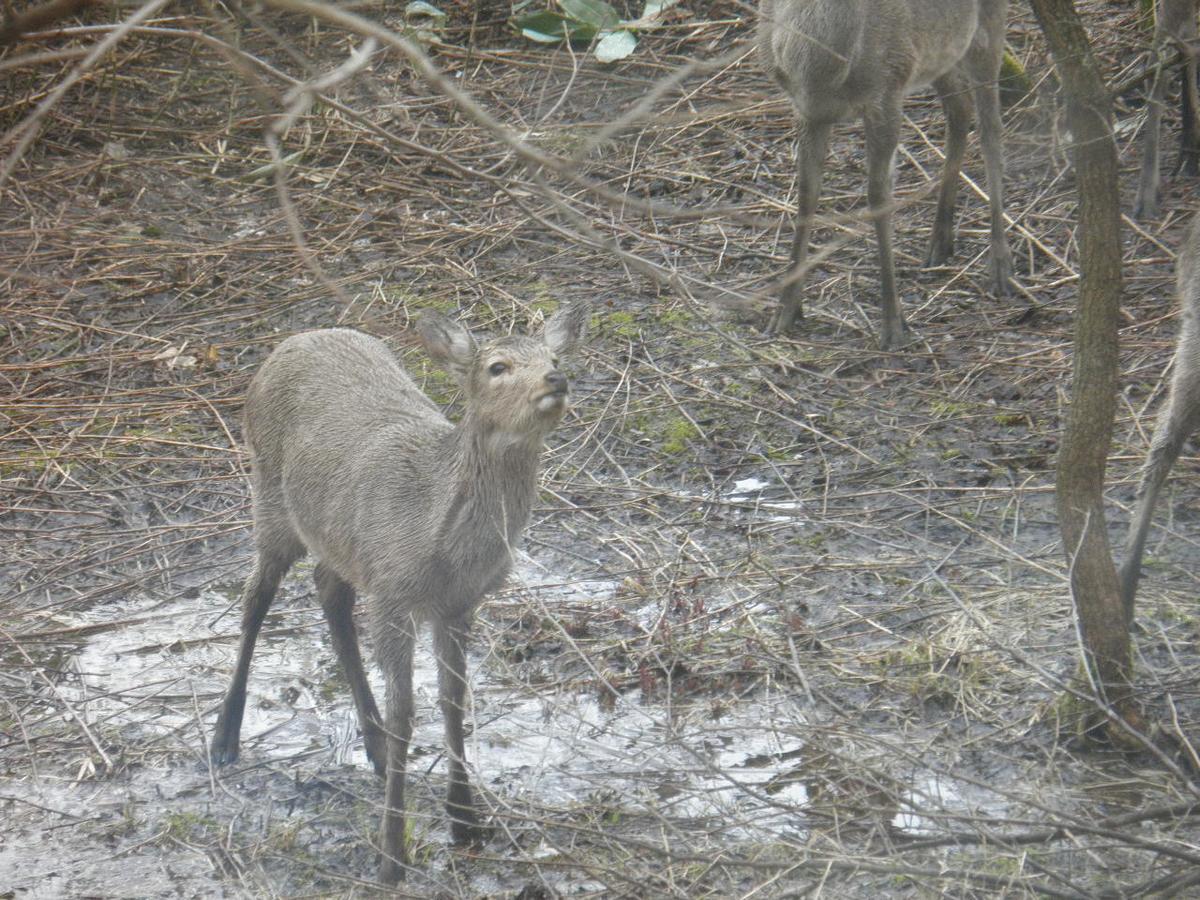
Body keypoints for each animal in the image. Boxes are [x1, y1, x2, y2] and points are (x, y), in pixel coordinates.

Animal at [213, 307, 588, 883]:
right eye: (498, 367)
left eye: (553, 356)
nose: (556, 379)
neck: (436, 535)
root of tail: (296, 340)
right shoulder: (393, 593)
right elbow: (406, 714)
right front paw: (392, 854)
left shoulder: (458, 604)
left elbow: (454, 702)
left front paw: (466, 820)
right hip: (269, 493)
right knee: (256, 598)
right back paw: (224, 738)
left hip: (340, 543)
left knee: (328, 590)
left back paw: (372, 745)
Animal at [758, 0, 1012, 350]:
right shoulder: (807, 111)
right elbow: (806, 194)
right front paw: (785, 312)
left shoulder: (888, 91)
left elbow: (878, 198)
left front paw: (893, 325)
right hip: (939, 51)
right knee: (960, 107)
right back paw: (940, 241)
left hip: (986, 26)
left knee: (991, 127)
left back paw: (999, 264)